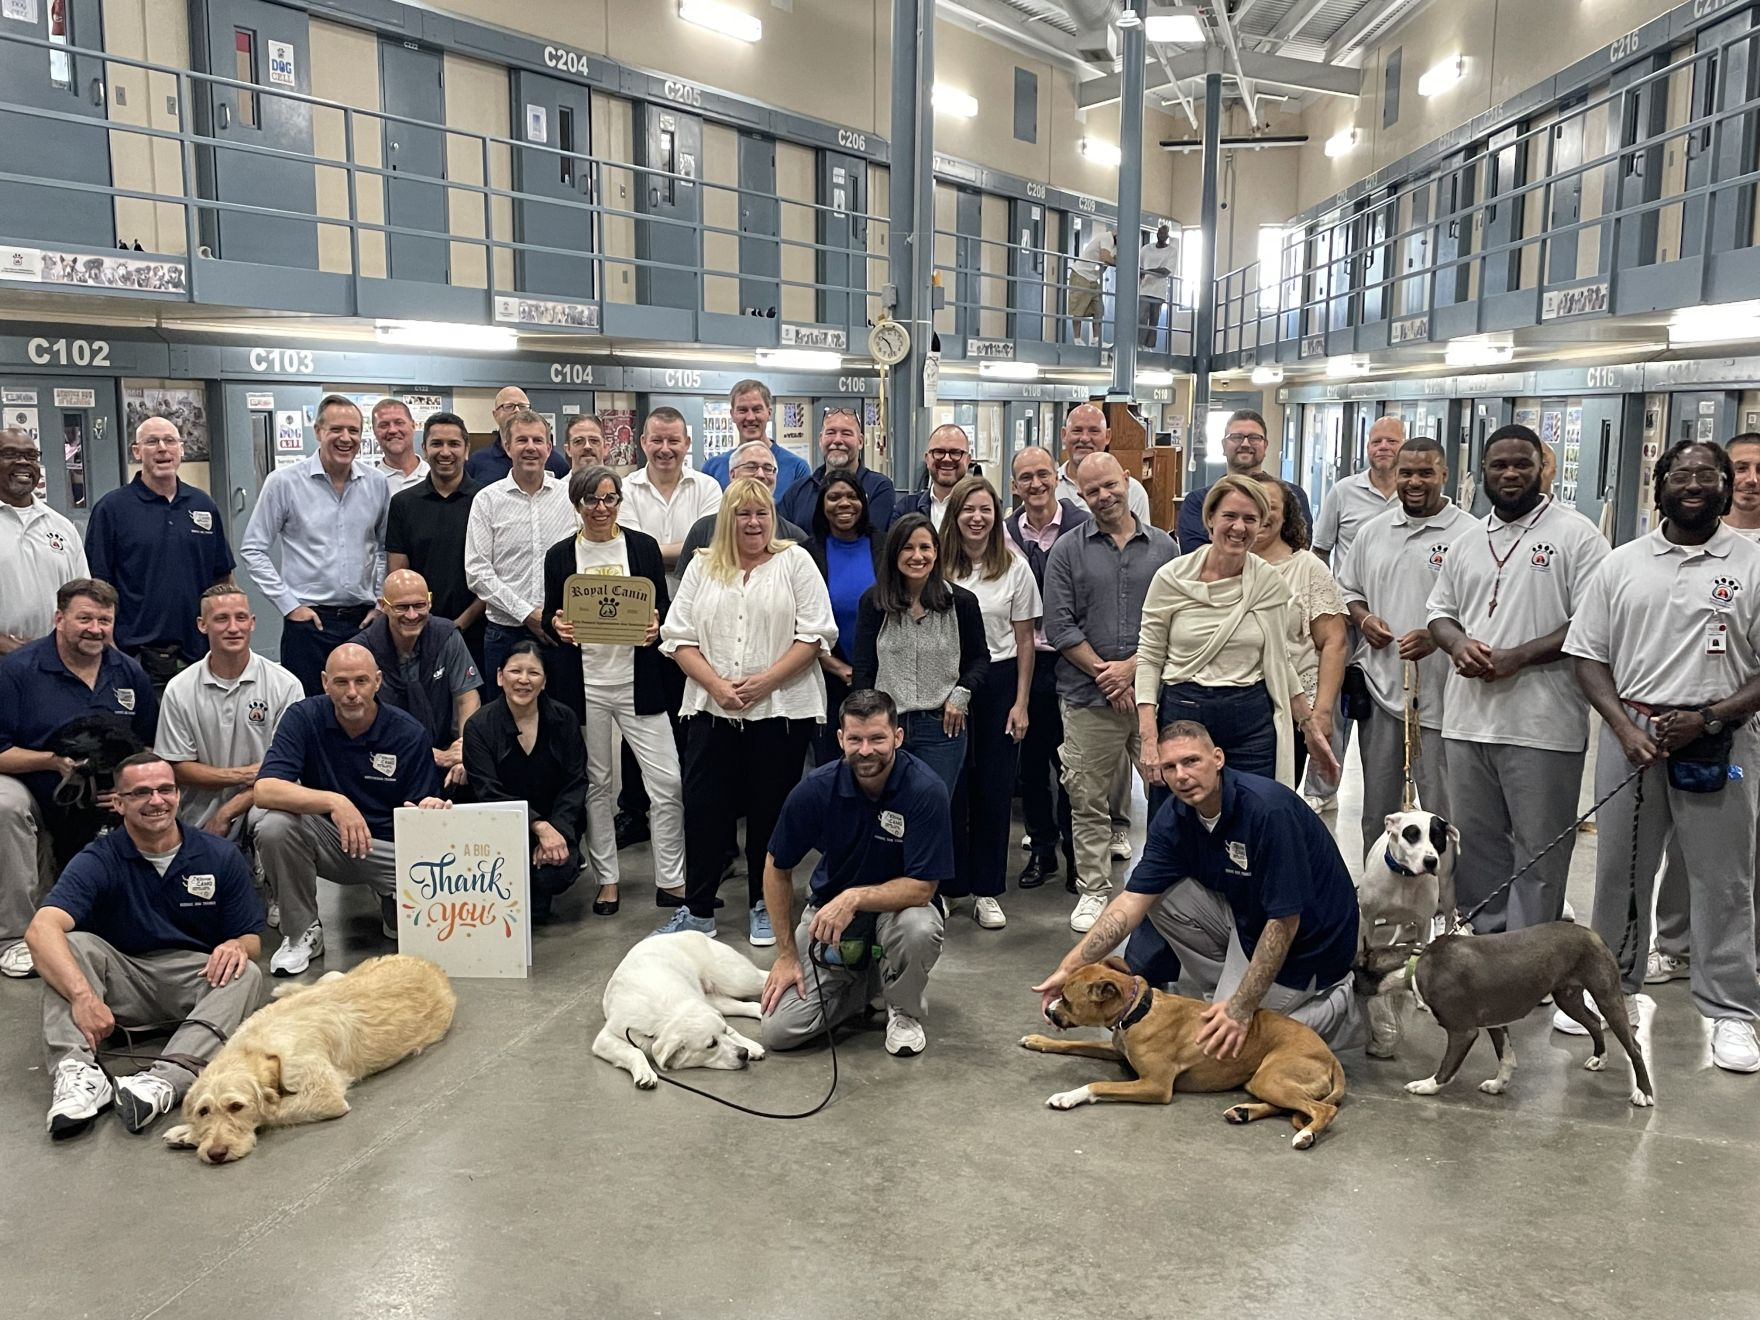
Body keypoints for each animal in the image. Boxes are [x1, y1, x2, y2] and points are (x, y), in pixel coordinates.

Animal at [161, 957, 457, 1161]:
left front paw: (188, 1134)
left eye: (236, 1107)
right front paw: (189, 1131)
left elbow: (271, 1111)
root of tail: (434, 966)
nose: (216, 1153)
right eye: (204, 1111)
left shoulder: (325, 1095)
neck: (255, 1048)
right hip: (335, 975)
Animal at [594, 922, 767, 1091]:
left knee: (764, 978)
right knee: (750, 1005)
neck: (667, 1014)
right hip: (713, 998)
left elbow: (732, 1029)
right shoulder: (604, 1038)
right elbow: (634, 1051)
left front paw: (750, 1045)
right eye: (711, 1045)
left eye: (722, 1032)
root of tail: (687, 932)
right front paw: (644, 1072)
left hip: (737, 981)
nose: (744, 1053)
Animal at [1020, 957, 1344, 1154]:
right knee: (1291, 1106)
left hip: (1271, 1078)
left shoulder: (1155, 1086)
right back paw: (1243, 1112)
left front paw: (1067, 1096)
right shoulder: (1115, 1050)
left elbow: (1097, 1084)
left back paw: (1306, 1135)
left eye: (1067, 1000)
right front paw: (1039, 1040)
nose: (1050, 1010)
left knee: (1323, 1110)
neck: (1138, 1010)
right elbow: (1074, 1043)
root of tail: (1331, 1057)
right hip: (1261, 1081)